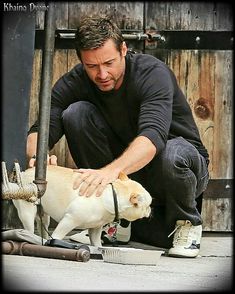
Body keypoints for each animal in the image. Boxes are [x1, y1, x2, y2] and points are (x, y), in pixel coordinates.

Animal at [12, 165, 152, 246]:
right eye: (148, 205)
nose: (150, 209)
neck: (114, 197)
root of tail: (24, 173)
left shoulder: (95, 228)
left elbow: (96, 243)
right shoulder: (69, 220)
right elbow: (58, 235)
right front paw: (55, 243)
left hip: (43, 214)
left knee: (43, 226)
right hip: (27, 211)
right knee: (29, 227)